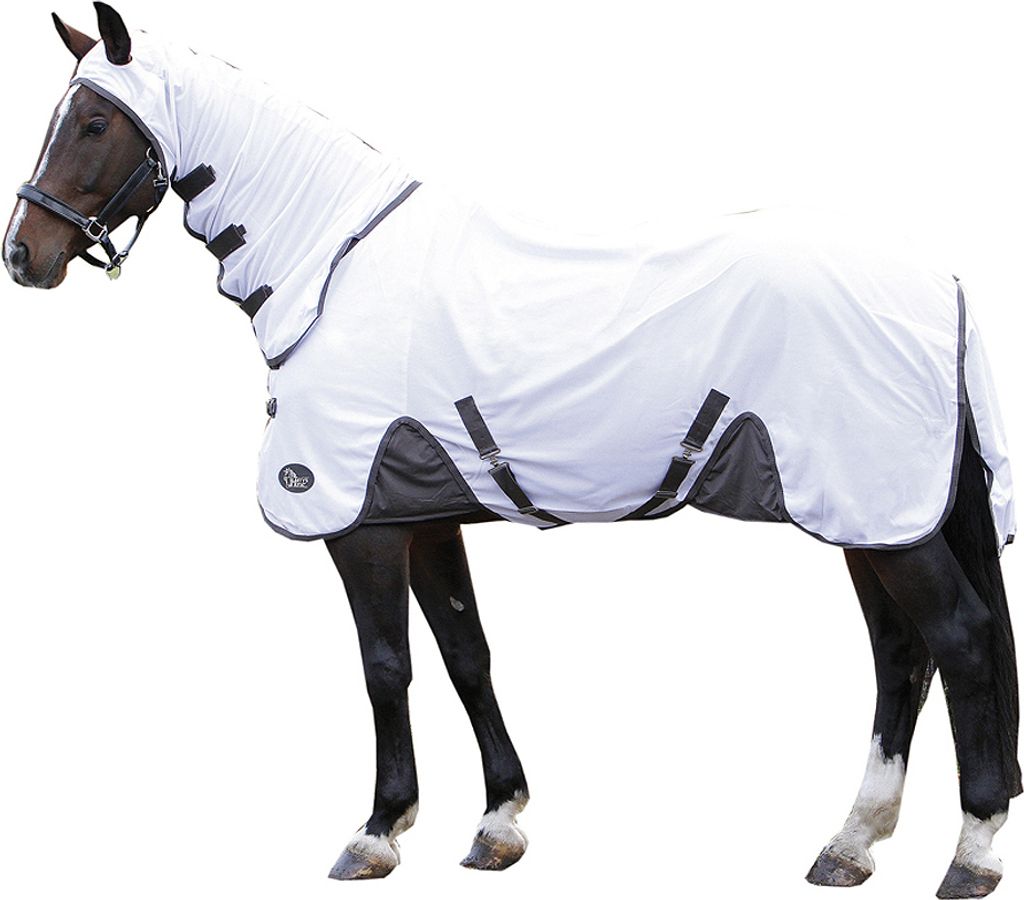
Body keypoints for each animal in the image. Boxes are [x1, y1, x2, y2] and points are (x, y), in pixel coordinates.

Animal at [3, 5, 1019, 897]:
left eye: (93, 121)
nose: (24, 254)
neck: (333, 268)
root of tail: (945, 285)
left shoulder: (358, 525)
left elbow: (386, 665)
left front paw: (377, 831)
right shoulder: (421, 512)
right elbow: (466, 652)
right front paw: (498, 823)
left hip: (879, 514)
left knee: (960, 641)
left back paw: (970, 856)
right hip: (872, 521)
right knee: (901, 654)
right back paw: (850, 845)